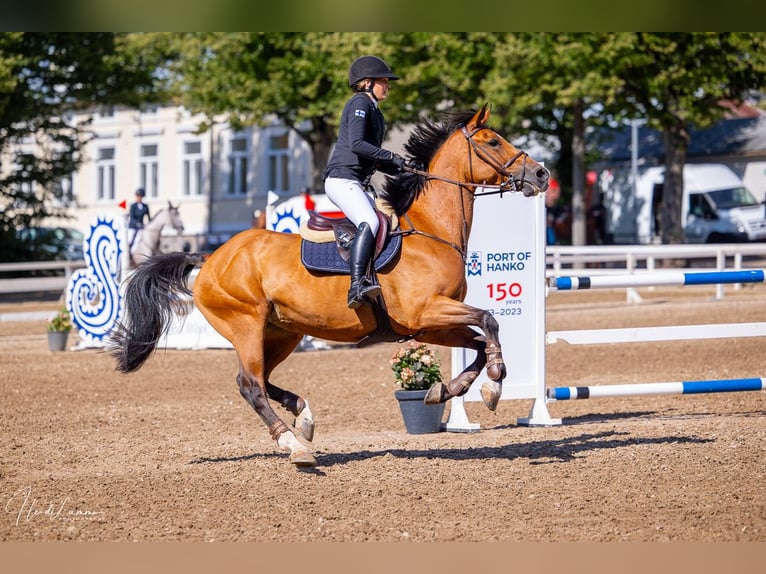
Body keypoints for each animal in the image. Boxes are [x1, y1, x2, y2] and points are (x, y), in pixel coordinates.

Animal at [109, 107, 552, 468]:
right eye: (492, 141)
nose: (541, 174)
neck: (430, 232)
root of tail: (211, 256)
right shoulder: (424, 312)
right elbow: (490, 321)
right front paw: (495, 381)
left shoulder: (427, 325)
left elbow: (477, 342)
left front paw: (449, 390)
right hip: (246, 325)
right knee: (250, 384)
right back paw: (294, 446)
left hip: (281, 332)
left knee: (261, 380)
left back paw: (303, 417)